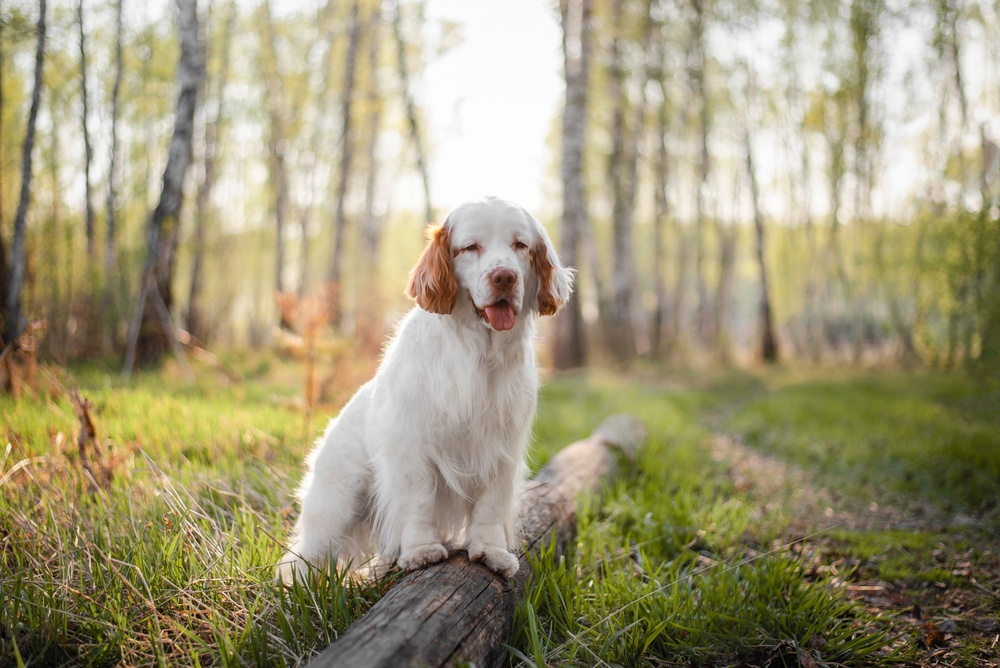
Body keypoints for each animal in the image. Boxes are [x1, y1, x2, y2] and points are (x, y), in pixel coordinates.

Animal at [282, 196, 576, 580]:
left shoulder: (501, 449)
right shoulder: (412, 445)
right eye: (471, 247)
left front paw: (491, 552)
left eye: (520, 245)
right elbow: (418, 501)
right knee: (300, 558)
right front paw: (421, 551)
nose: (504, 277)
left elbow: (490, 508)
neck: (478, 354)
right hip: (336, 504)